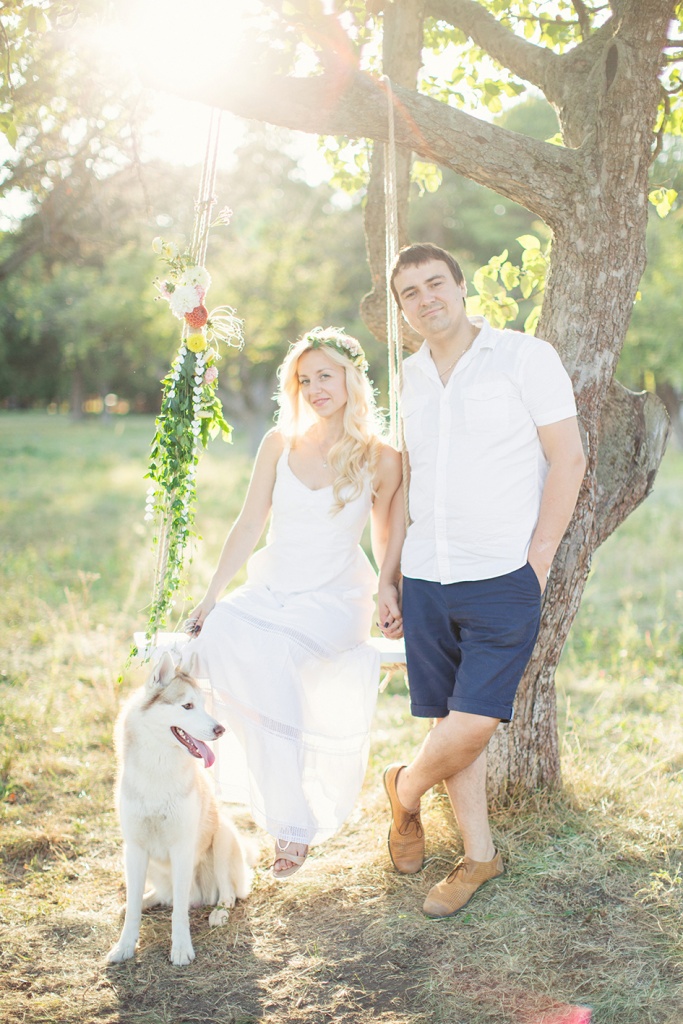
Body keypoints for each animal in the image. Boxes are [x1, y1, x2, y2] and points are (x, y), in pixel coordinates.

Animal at [107, 651, 253, 966]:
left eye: (204, 705)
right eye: (187, 706)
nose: (220, 729)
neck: (157, 772)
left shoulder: (182, 846)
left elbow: (179, 914)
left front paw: (181, 948)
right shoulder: (135, 848)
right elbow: (134, 908)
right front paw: (125, 946)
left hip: (223, 836)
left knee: (226, 893)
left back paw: (219, 912)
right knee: (163, 897)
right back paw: (146, 900)